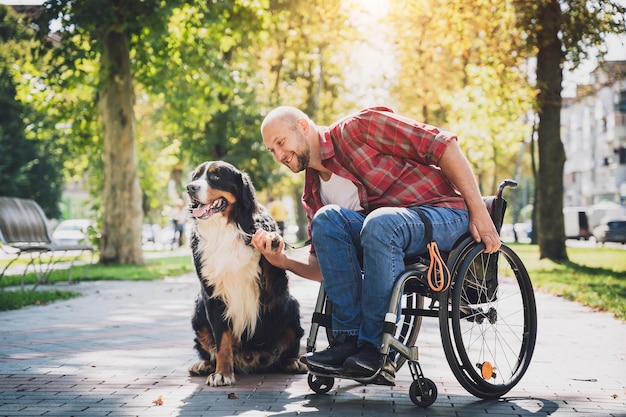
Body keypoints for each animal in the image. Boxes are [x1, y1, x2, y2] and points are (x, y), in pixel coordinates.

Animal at [184, 160, 306, 386]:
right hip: (198, 309)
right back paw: (203, 365)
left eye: (215, 177)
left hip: (291, 307)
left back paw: (293, 362)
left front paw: (270, 239)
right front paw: (222, 373)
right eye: (195, 176)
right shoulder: (213, 294)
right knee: (208, 349)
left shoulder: (272, 289)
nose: (190, 188)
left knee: (288, 348)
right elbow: (221, 340)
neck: (224, 229)